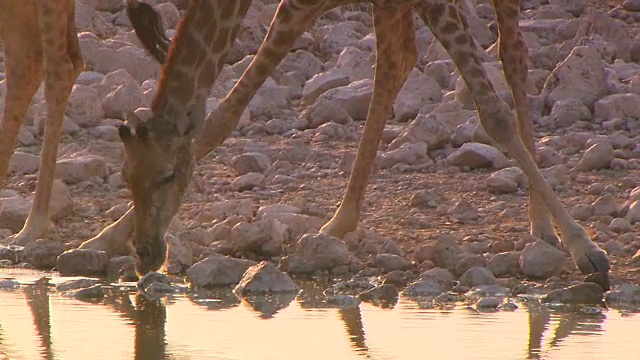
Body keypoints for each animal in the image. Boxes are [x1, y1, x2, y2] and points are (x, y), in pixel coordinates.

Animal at [91, 0, 608, 288]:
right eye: (124, 178)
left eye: (168, 176)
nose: (147, 254)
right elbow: (221, 119)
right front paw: (101, 238)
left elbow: (492, 114)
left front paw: (586, 248)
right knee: (400, 58)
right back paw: (339, 222)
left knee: (513, 53)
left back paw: (545, 226)